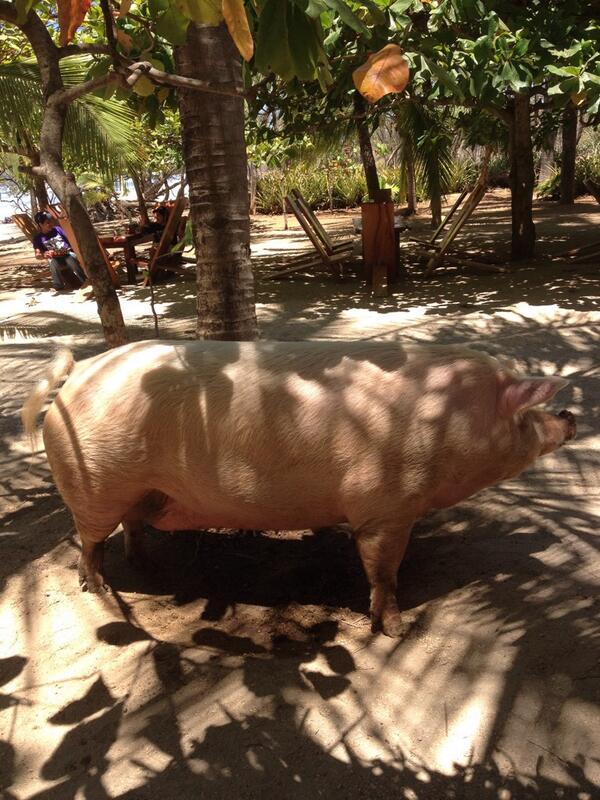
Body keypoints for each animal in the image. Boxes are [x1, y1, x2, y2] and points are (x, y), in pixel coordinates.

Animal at [22, 340, 576, 637]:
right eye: (525, 414)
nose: (571, 416)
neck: (446, 422)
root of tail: (80, 370)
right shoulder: (382, 506)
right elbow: (383, 571)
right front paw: (396, 629)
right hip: (94, 482)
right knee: (90, 543)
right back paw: (97, 586)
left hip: (134, 488)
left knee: (131, 526)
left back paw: (146, 565)